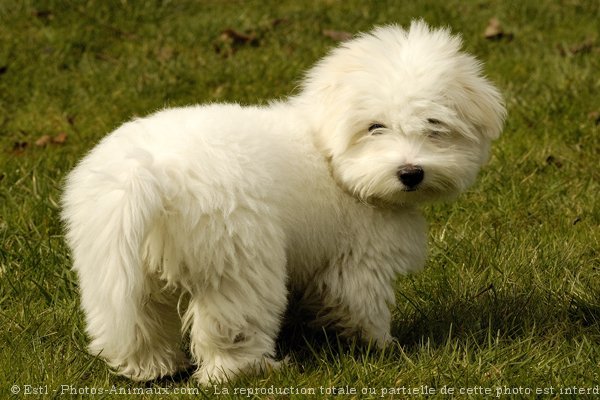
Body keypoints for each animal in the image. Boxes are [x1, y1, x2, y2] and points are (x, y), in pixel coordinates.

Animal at [61, 21, 504, 384]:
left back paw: (151, 369)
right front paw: (384, 346)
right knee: (230, 328)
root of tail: (151, 172)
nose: (411, 173)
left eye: (434, 126)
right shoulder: (360, 258)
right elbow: (362, 304)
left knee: (133, 322)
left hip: (112, 266)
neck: (327, 151)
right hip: (238, 263)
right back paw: (250, 370)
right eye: (375, 127)